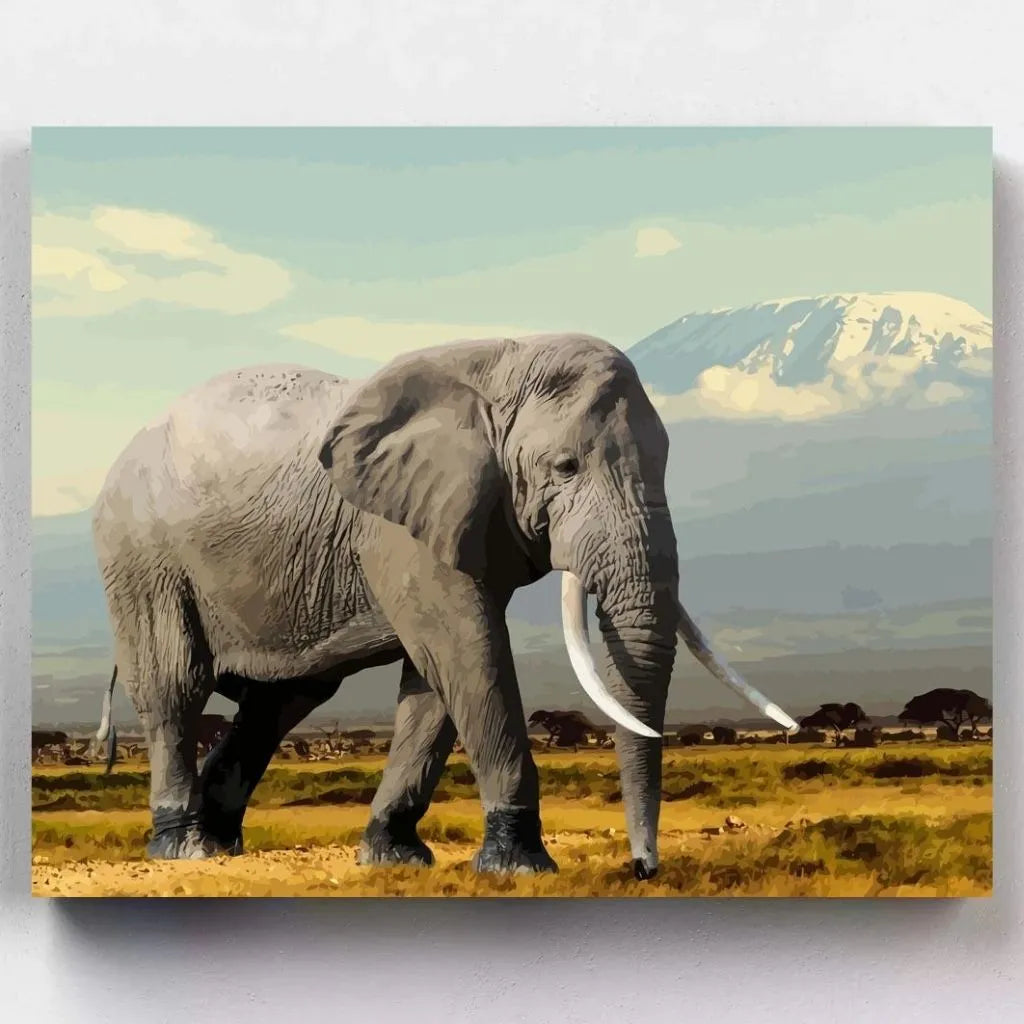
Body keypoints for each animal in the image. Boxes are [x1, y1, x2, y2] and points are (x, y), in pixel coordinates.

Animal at [91, 332, 779, 879]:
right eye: (565, 466)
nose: (642, 869)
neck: (501, 363)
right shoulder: (400, 525)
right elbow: (466, 647)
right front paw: (520, 866)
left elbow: (434, 680)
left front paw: (392, 857)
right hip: (142, 558)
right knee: (176, 686)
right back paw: (185, 848)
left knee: (281, 700)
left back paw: (219, 841)